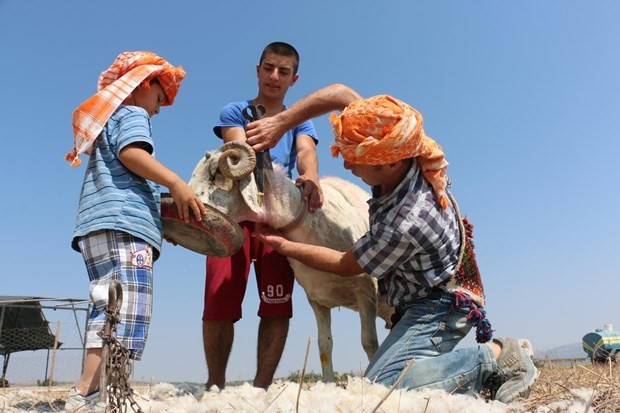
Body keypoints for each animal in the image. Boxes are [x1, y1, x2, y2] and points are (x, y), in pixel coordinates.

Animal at [186, 141, 394, 380]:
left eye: (215, 174)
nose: (184, 203)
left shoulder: (366, 291)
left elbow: (370, 344)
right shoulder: (318, 300)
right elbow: (325, 346)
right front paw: (329, 383)